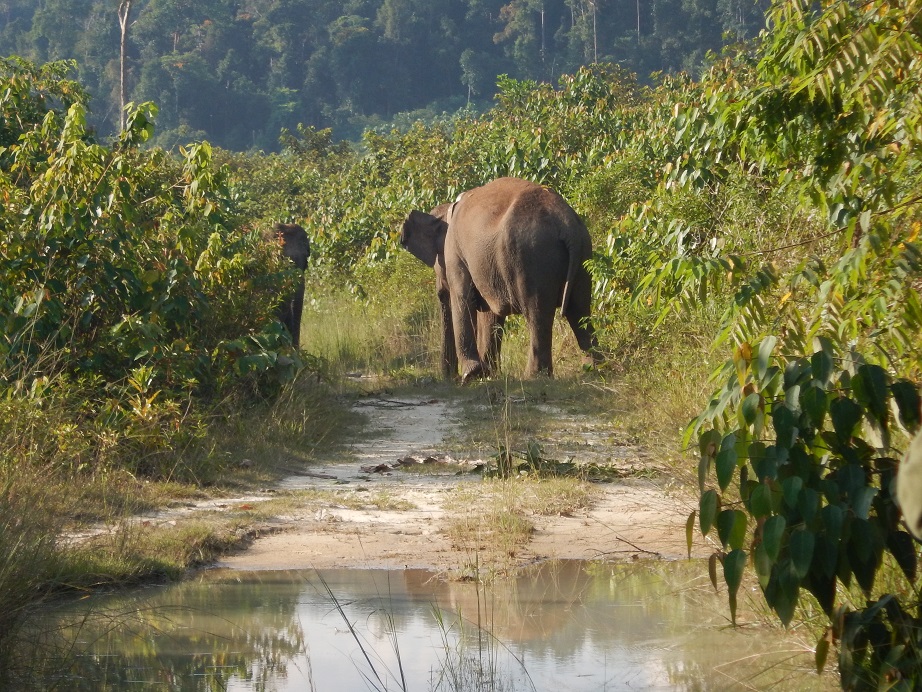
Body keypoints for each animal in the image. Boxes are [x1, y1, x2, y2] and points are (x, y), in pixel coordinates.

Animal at [400, 177, 600, 383]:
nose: (450, 378)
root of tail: (566, 223)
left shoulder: (456, 253)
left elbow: (463, 298)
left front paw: (471, 375)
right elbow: (490, 314)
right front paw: (489, 374)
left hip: (533, 257)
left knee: (538, 314)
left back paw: (533, 377)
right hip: (583, 256)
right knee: (580, 311)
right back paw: (595, 369)